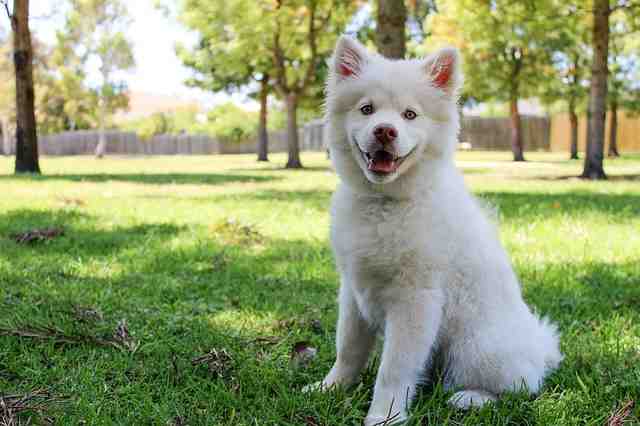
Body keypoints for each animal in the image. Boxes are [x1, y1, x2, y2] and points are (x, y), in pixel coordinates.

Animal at [302, 35, 564, 424]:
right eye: (367, 109)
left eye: (410, 115)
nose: (385, 130)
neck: (385, 203)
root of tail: (540, 349)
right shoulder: (353, 291)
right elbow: (347, 349)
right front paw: (330, 388)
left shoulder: (415, 299)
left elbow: (393, 369)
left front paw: (384, 416)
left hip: (475, 347)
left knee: (519, 386)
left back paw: (470, 398)